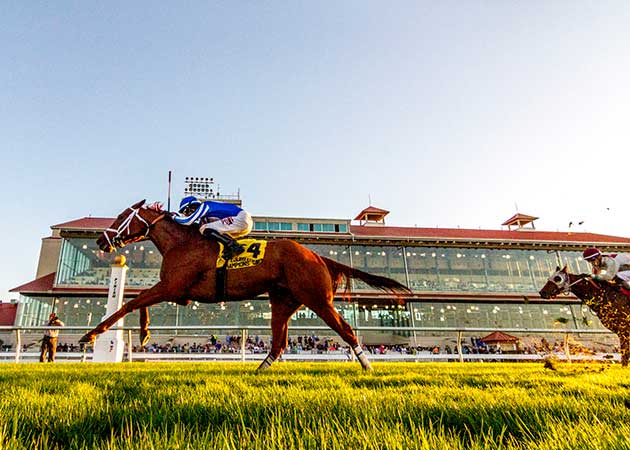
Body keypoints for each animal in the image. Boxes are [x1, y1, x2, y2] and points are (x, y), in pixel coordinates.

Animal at [79, 200, 412, 370]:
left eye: (121, 216)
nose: (100, 241)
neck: (182, 242)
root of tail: (317, 255)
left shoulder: (172, 287)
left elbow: (131, 302)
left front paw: (92, 335)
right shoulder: (177, 291)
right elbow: (138, 300)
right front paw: (145, 333)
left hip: (318, 300)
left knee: (346, 330)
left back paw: (367, 366)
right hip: (283, 302)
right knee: (278, 344)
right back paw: (258, 371)